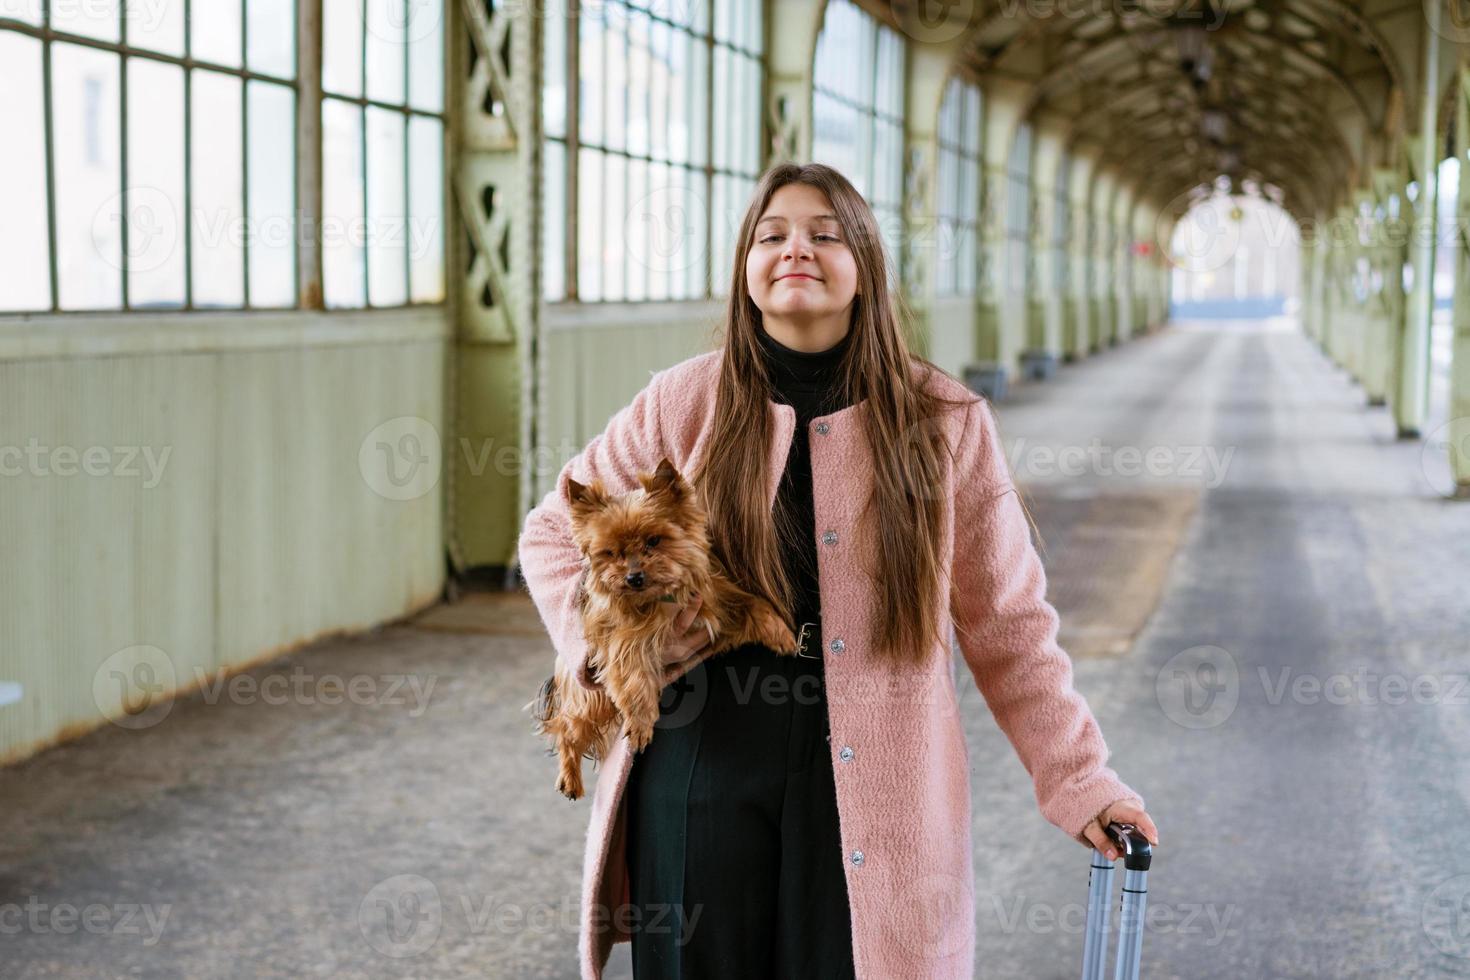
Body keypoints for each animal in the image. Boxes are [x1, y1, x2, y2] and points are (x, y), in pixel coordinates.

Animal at [529, 455, 805, 799]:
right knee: (568, 727)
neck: (659, 597)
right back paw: (569, 777)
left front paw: (783, 635)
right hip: (588, 695)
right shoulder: (623, 643)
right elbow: (634, 679)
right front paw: (640, 723)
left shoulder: (718, 602)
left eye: (653, 540)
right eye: (611, 553)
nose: (633, 577)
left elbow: (756, 605)